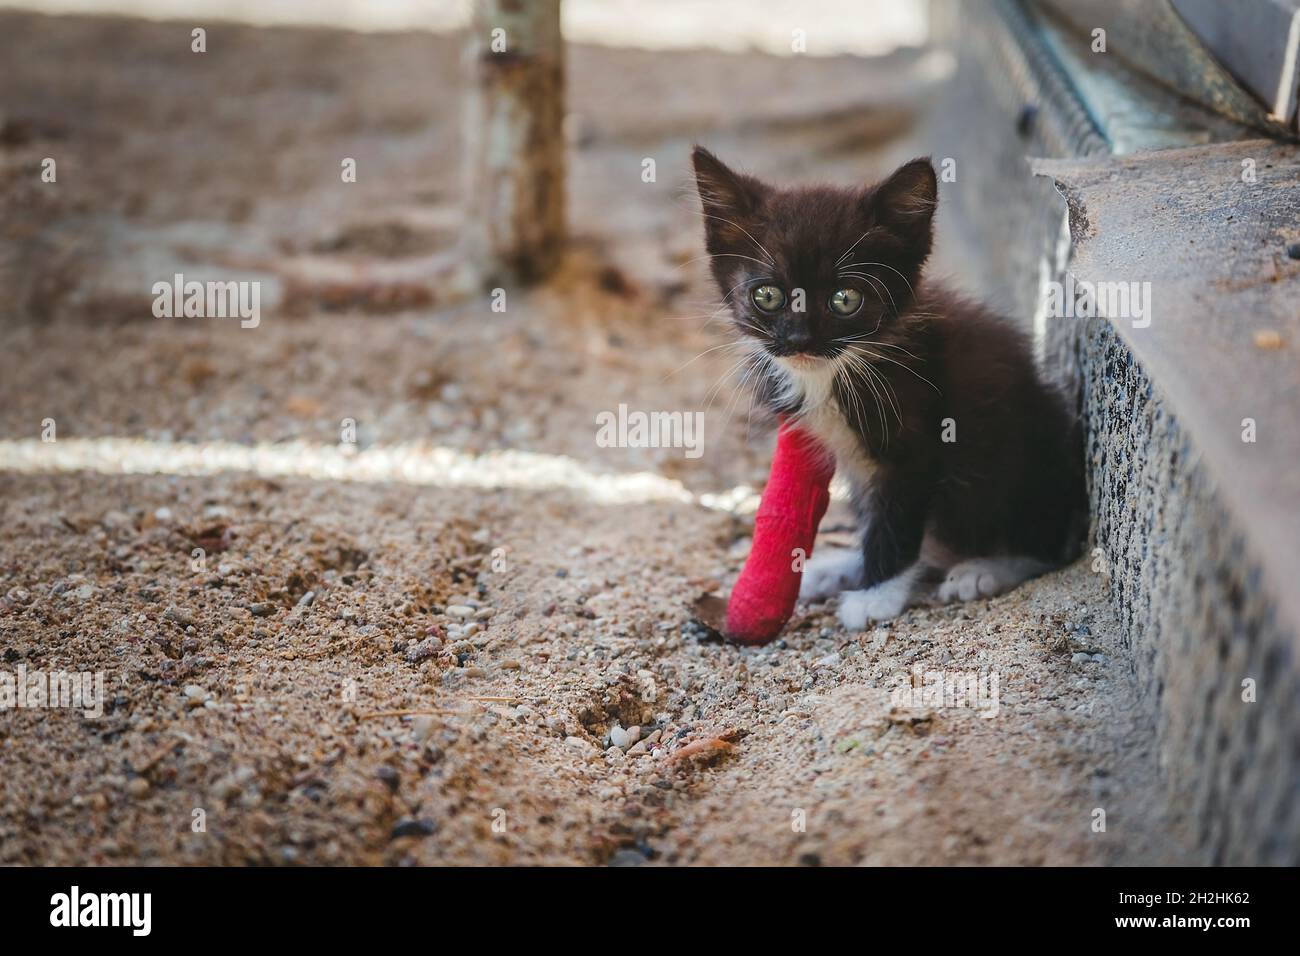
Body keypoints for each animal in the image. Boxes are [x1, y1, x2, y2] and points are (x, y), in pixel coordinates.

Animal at [691, 147, 1086, 629]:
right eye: (767, 296)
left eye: (845, 300)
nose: (800, 341)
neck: (835, 371)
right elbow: (878, 518)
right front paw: (862, 579)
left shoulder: (922, 439)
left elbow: (896, 521)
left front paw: (876, 596)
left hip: (1019, 461)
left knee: (1044, 541)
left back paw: (985, 569)